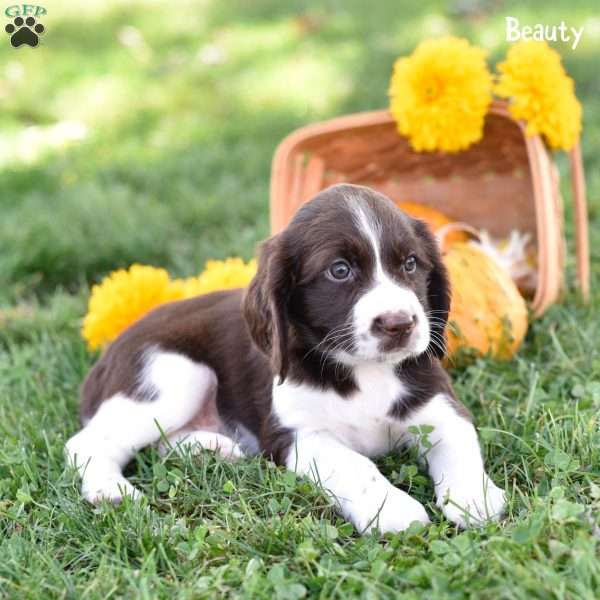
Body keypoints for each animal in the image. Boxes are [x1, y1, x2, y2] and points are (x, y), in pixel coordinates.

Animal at [67, 185, 506, 532]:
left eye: (411, 264)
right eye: (340, 270)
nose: (399, 324)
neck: (363, 371)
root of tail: (109, 351)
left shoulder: (440, 407)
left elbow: (460, 444)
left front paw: (475, 497)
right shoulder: (296, 435)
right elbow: (354, 465)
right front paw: (393, 509)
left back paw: (212, 448)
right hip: (173, 374)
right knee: (84, 443)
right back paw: (112, 491)